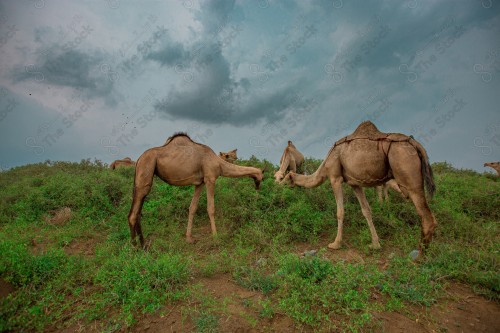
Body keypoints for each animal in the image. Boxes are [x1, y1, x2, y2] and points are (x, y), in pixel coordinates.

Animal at [127, 133, 264, 246]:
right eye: (262, 178)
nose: (258, 188)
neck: (218, 163)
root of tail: (138, 160)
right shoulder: (210, 179)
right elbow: (211, 208)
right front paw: (215, 235)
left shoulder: (200, 183)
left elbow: (192, 207)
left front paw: (189, 238)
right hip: (145, 171)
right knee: (133, 213)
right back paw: (135, 247)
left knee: (138, 213)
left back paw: (144, 244)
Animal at [282, 120, 438, 255]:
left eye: (286, 178)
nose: (280, 183)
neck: (325, 165)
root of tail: (415, 143)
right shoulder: (355, 184)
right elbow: (366, 210)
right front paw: (375, 244)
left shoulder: (335, 178)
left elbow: (340, 211)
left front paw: (335, 243)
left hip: (406, 169)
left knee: (427, 217)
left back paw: (419, 258)